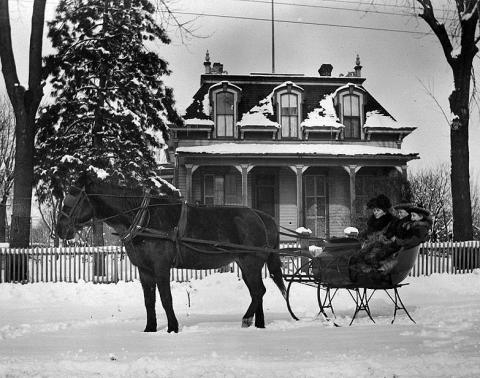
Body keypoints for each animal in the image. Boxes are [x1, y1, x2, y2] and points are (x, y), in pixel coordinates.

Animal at [57, 174, 286, 334]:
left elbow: (166, 298)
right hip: (246, 265)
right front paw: (149, 328)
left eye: (71, 200)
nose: (60, 229)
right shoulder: (144, 270)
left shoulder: (161, 267)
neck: (143, 218)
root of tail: (261, 216)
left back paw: (247, 319)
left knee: (259, 291)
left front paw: (172, 327)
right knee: (257, 292)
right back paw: (258, 324)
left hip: (250, 263)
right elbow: (149, 300)